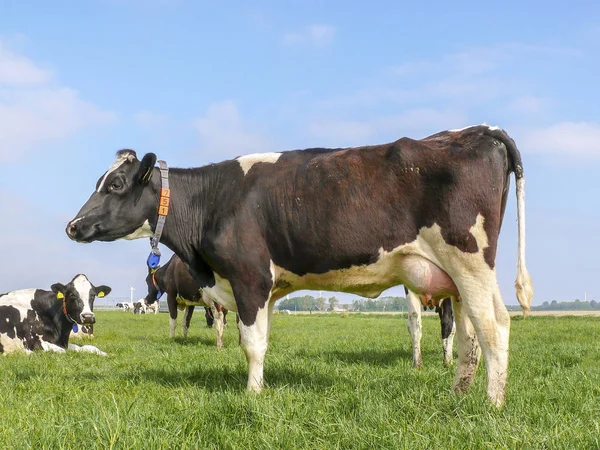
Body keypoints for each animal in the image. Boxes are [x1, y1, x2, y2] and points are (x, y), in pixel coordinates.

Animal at [67, 124, 536, 408]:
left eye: (115, 184)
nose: (73, 225)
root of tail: (479, 130)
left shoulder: (249, 277)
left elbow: (250, 345)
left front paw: (252, 396)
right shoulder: (267, 288)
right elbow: (259, 342)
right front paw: (259, 389)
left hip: (470, 260)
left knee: (494, 327)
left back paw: (491, 405)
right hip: (456, 276)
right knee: (469, 336)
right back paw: (459, 395)